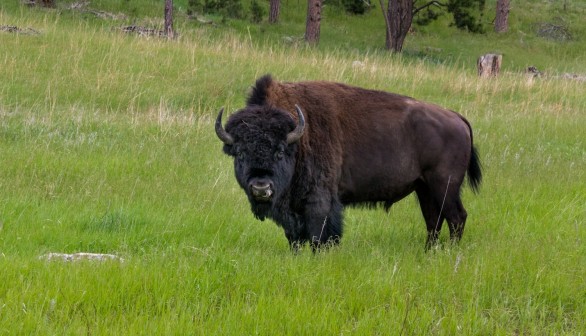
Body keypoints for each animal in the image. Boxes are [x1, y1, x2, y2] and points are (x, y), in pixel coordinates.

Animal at [214, 75, 480, 249]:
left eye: (280, 151)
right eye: (240, 153)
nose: (261, 188)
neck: (298, 138)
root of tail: (456, 117)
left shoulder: (320, 201)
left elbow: (319, 235)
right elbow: (294, 238)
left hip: (445, 186)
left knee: (456, 217)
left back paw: (450, 252)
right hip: (424, 188)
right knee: (434, 220)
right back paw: (428, 252)